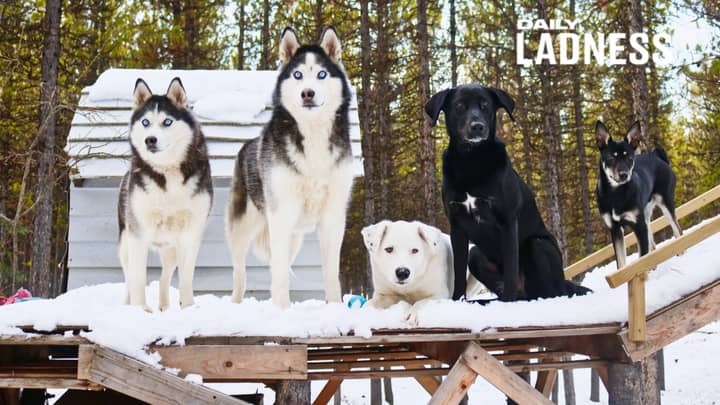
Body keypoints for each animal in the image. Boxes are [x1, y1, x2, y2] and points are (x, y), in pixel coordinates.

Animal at [424, 84, 588, 300]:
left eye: (485, 105)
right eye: (459, 105)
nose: (477, 126)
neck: (471, 160)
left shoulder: (508, 221)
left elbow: (510, 269)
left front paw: (507, 302)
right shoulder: (457, 224)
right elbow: (458, 273)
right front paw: (458, 301)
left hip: (539, 245)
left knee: (550, 292)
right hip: (476, 255)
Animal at [596, 121, 680, 270]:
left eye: (629, 157)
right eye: (611, 157)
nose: (623, 174)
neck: (615, 195)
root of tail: (657, 157)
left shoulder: (638, 226)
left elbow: (642, 258)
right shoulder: (615, 229)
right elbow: (621, 265)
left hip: (665, 203)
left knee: (678, 232)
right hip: (645, 214)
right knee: (653, 245)